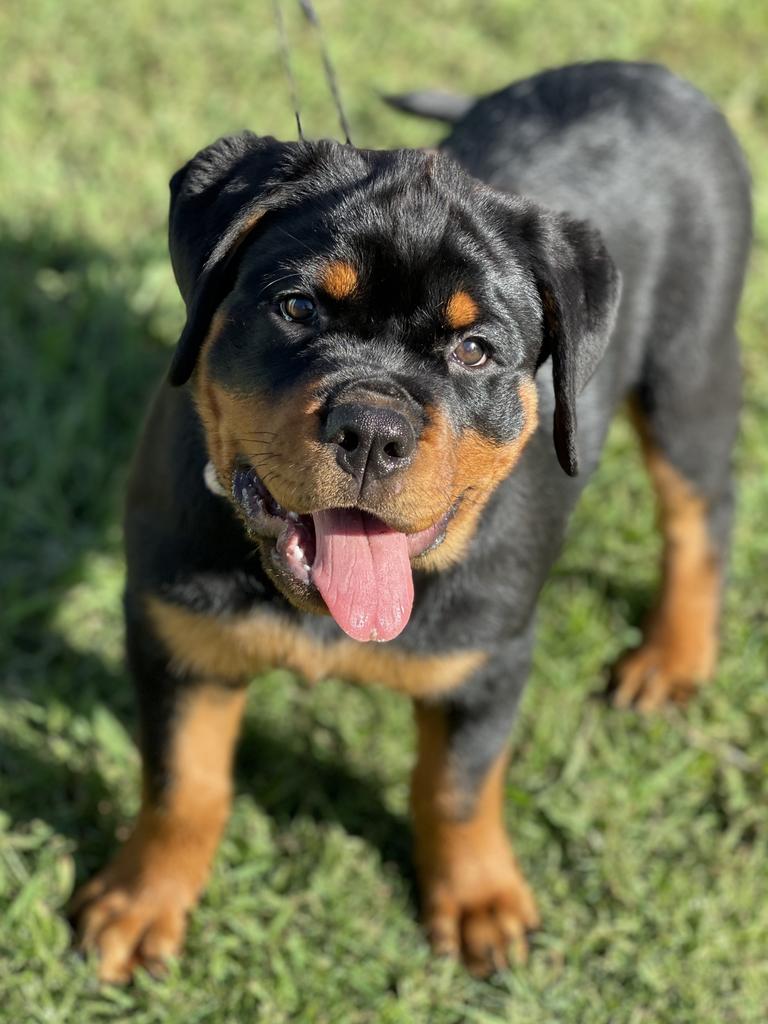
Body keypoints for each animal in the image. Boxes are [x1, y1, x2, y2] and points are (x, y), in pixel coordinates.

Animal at [72, 61, 753, 983]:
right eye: (297, 308)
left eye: (474, 350)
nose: (371, 429)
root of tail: (646, 72)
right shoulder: (178, 632)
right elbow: (184, 782)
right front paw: (142, 903)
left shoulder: (486, 656)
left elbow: (456, 787)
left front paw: (479, 902)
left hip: (690, 370)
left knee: (699, 512)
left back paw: (671, 658)